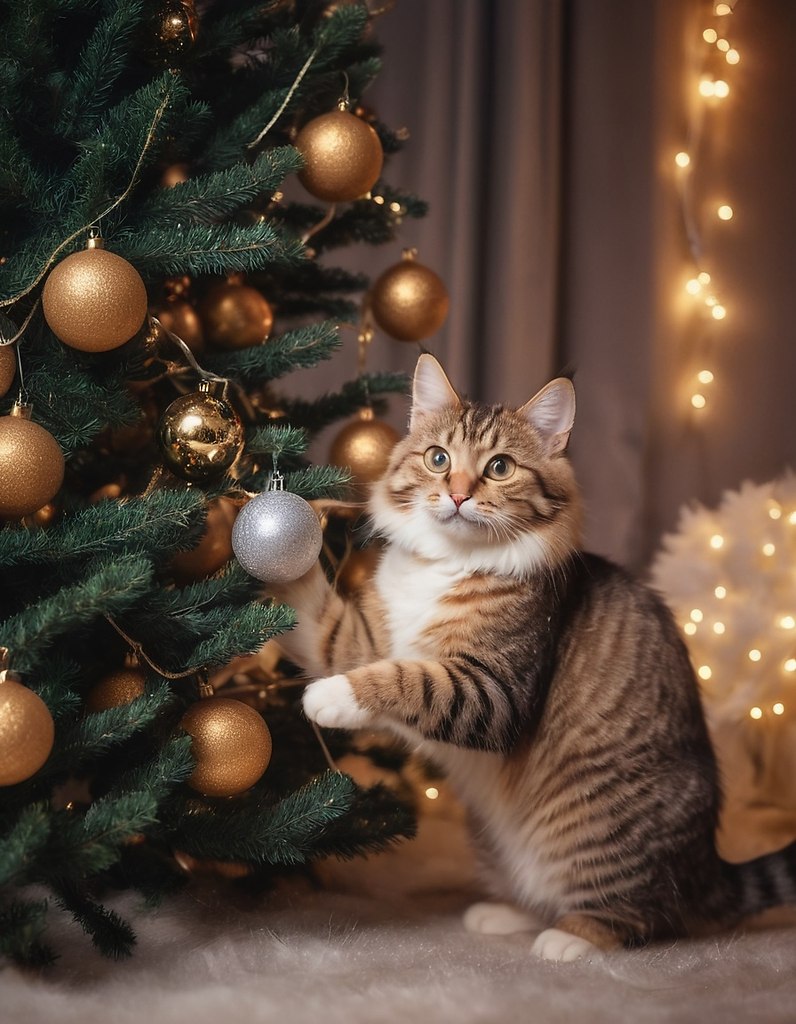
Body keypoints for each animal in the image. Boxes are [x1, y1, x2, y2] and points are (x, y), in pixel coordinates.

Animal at [272, 352, 794, 958]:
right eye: (437, 458)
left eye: (499, 468)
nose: (457, 493)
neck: (448, 564)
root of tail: (707, 865)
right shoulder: (364, 639)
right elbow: (319, 617)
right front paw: (259, 531)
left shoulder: (495, 690)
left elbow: (408, 678)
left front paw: (331, 697)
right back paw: (504, 915)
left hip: (599, 834)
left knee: (644, 917)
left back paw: (570, 938)